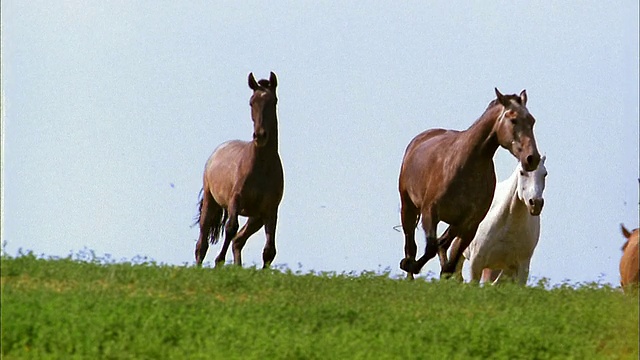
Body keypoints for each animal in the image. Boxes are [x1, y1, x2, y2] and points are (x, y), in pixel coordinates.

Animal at [195, 71, 284, 268]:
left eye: (273, 101)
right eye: (252, 102)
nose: (260, 135)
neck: (261, 167)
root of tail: (216, 152)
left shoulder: (270, 211)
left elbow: (269, 250)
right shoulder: (235, 200)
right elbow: (230, 228)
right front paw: (219, 261)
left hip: (256, 218)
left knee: (238, 241)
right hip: (211, 202)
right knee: (202, 242)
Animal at [398, 88, 544, 278]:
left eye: (532, 121)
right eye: (513, 120)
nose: (532, 158)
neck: (464, 165)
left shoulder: (470, 225)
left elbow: (448, 257)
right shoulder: (429, 212)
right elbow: (430, 248)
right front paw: (411, 266)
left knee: (442, 243)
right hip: (408, 205)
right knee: (411, 245)